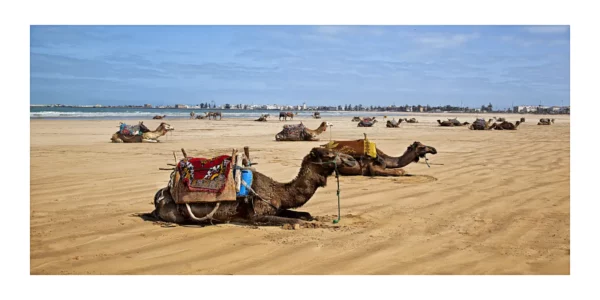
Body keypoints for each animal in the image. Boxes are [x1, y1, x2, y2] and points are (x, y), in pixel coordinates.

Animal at [149, 146, 356, 226]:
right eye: (329, 154)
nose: (352, 160)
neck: (278, 192)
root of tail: (159, 197)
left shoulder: (277, 207)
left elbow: (305, 214)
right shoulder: (258, 215)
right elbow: (297, 221)